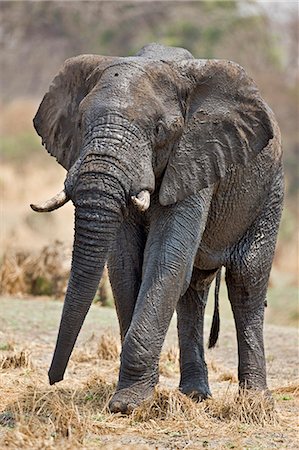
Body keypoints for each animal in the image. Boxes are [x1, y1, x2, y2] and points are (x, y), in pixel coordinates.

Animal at [30, 44, 284, 414]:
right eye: (79, 123)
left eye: (159, 131)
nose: (54, 378)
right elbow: (124, 265)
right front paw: (138, 395)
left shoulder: (196, 156)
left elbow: (164, 260)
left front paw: (127, 405)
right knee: (194, 290)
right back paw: (194, 395)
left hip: (269, 190)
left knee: (246, 282)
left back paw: (255, 403)